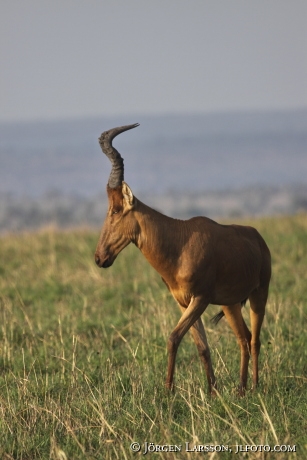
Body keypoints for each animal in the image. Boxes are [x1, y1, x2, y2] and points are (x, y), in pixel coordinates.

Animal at [95, 123, 272, 396]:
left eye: (115, 209)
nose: (99, 257)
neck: (180, 242)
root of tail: (258, 237)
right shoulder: (183, 302)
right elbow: (202, 346)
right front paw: (212, 391)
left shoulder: (200, 299)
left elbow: (173, 337)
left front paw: (168, 391)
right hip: (230, 304)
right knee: (243, 337)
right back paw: (241, 389)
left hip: (259, 294)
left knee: (255, 339)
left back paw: (253, 387)